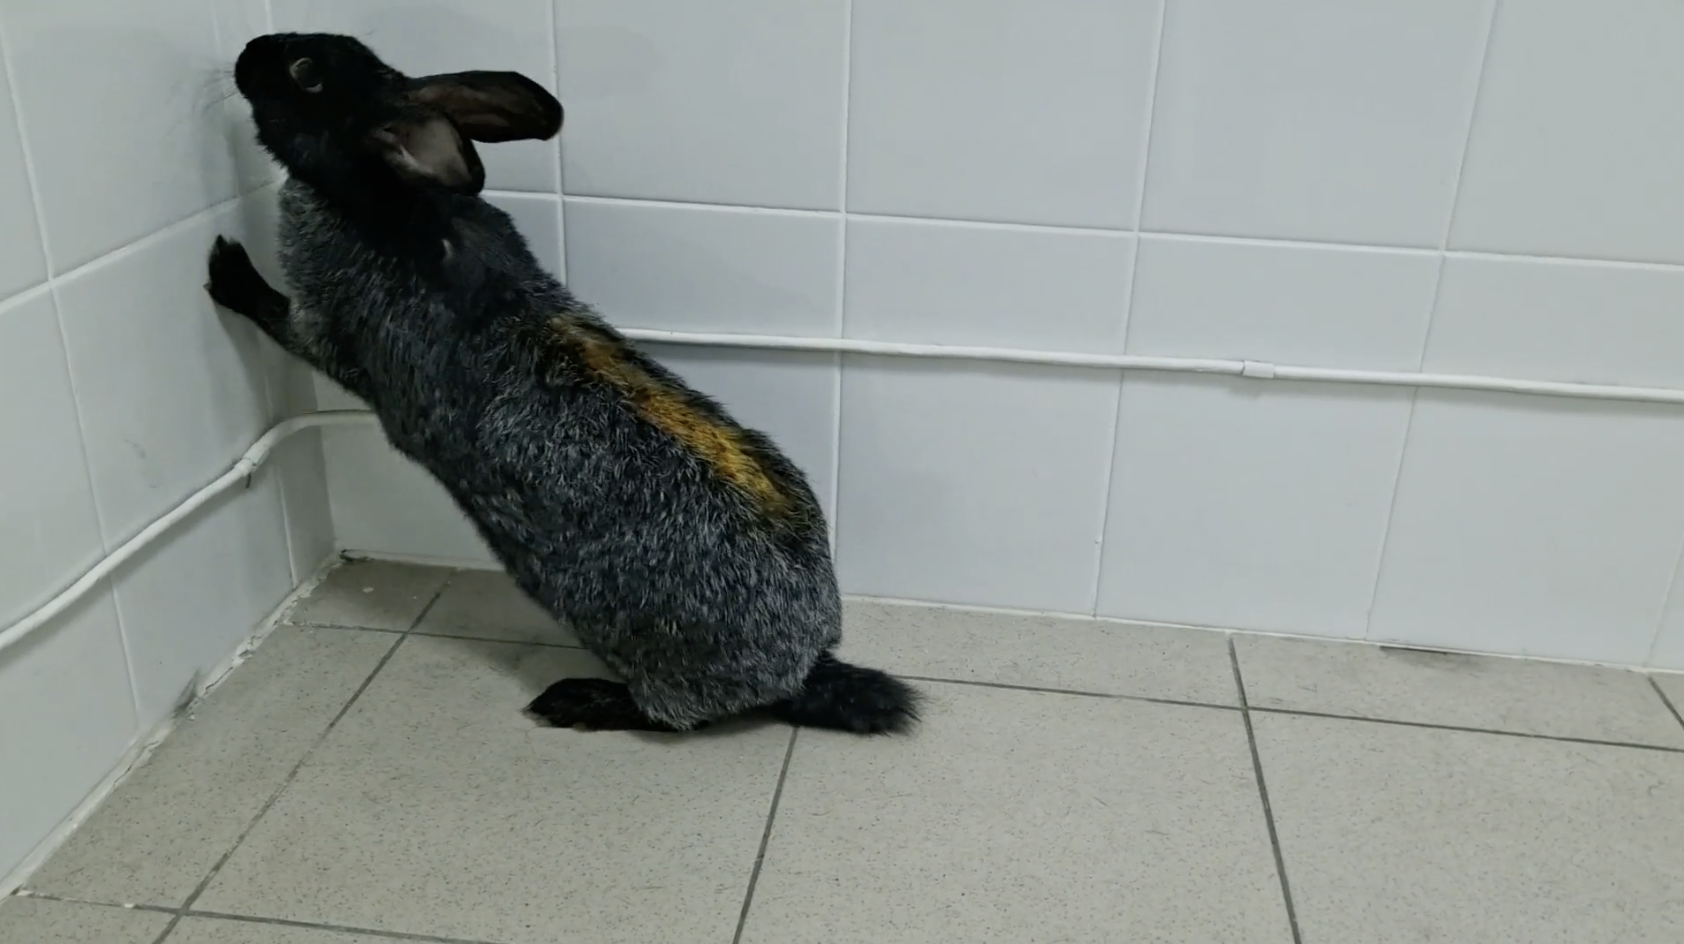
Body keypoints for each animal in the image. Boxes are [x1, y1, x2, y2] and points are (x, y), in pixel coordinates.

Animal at [206, 32, 921, 735]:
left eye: (305, 72)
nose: (247, 51)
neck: (393, 195)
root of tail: (802, 668)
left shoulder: (324, 323)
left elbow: (281, 319)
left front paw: (225, 267)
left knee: (673, 718)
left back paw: (574, 700)